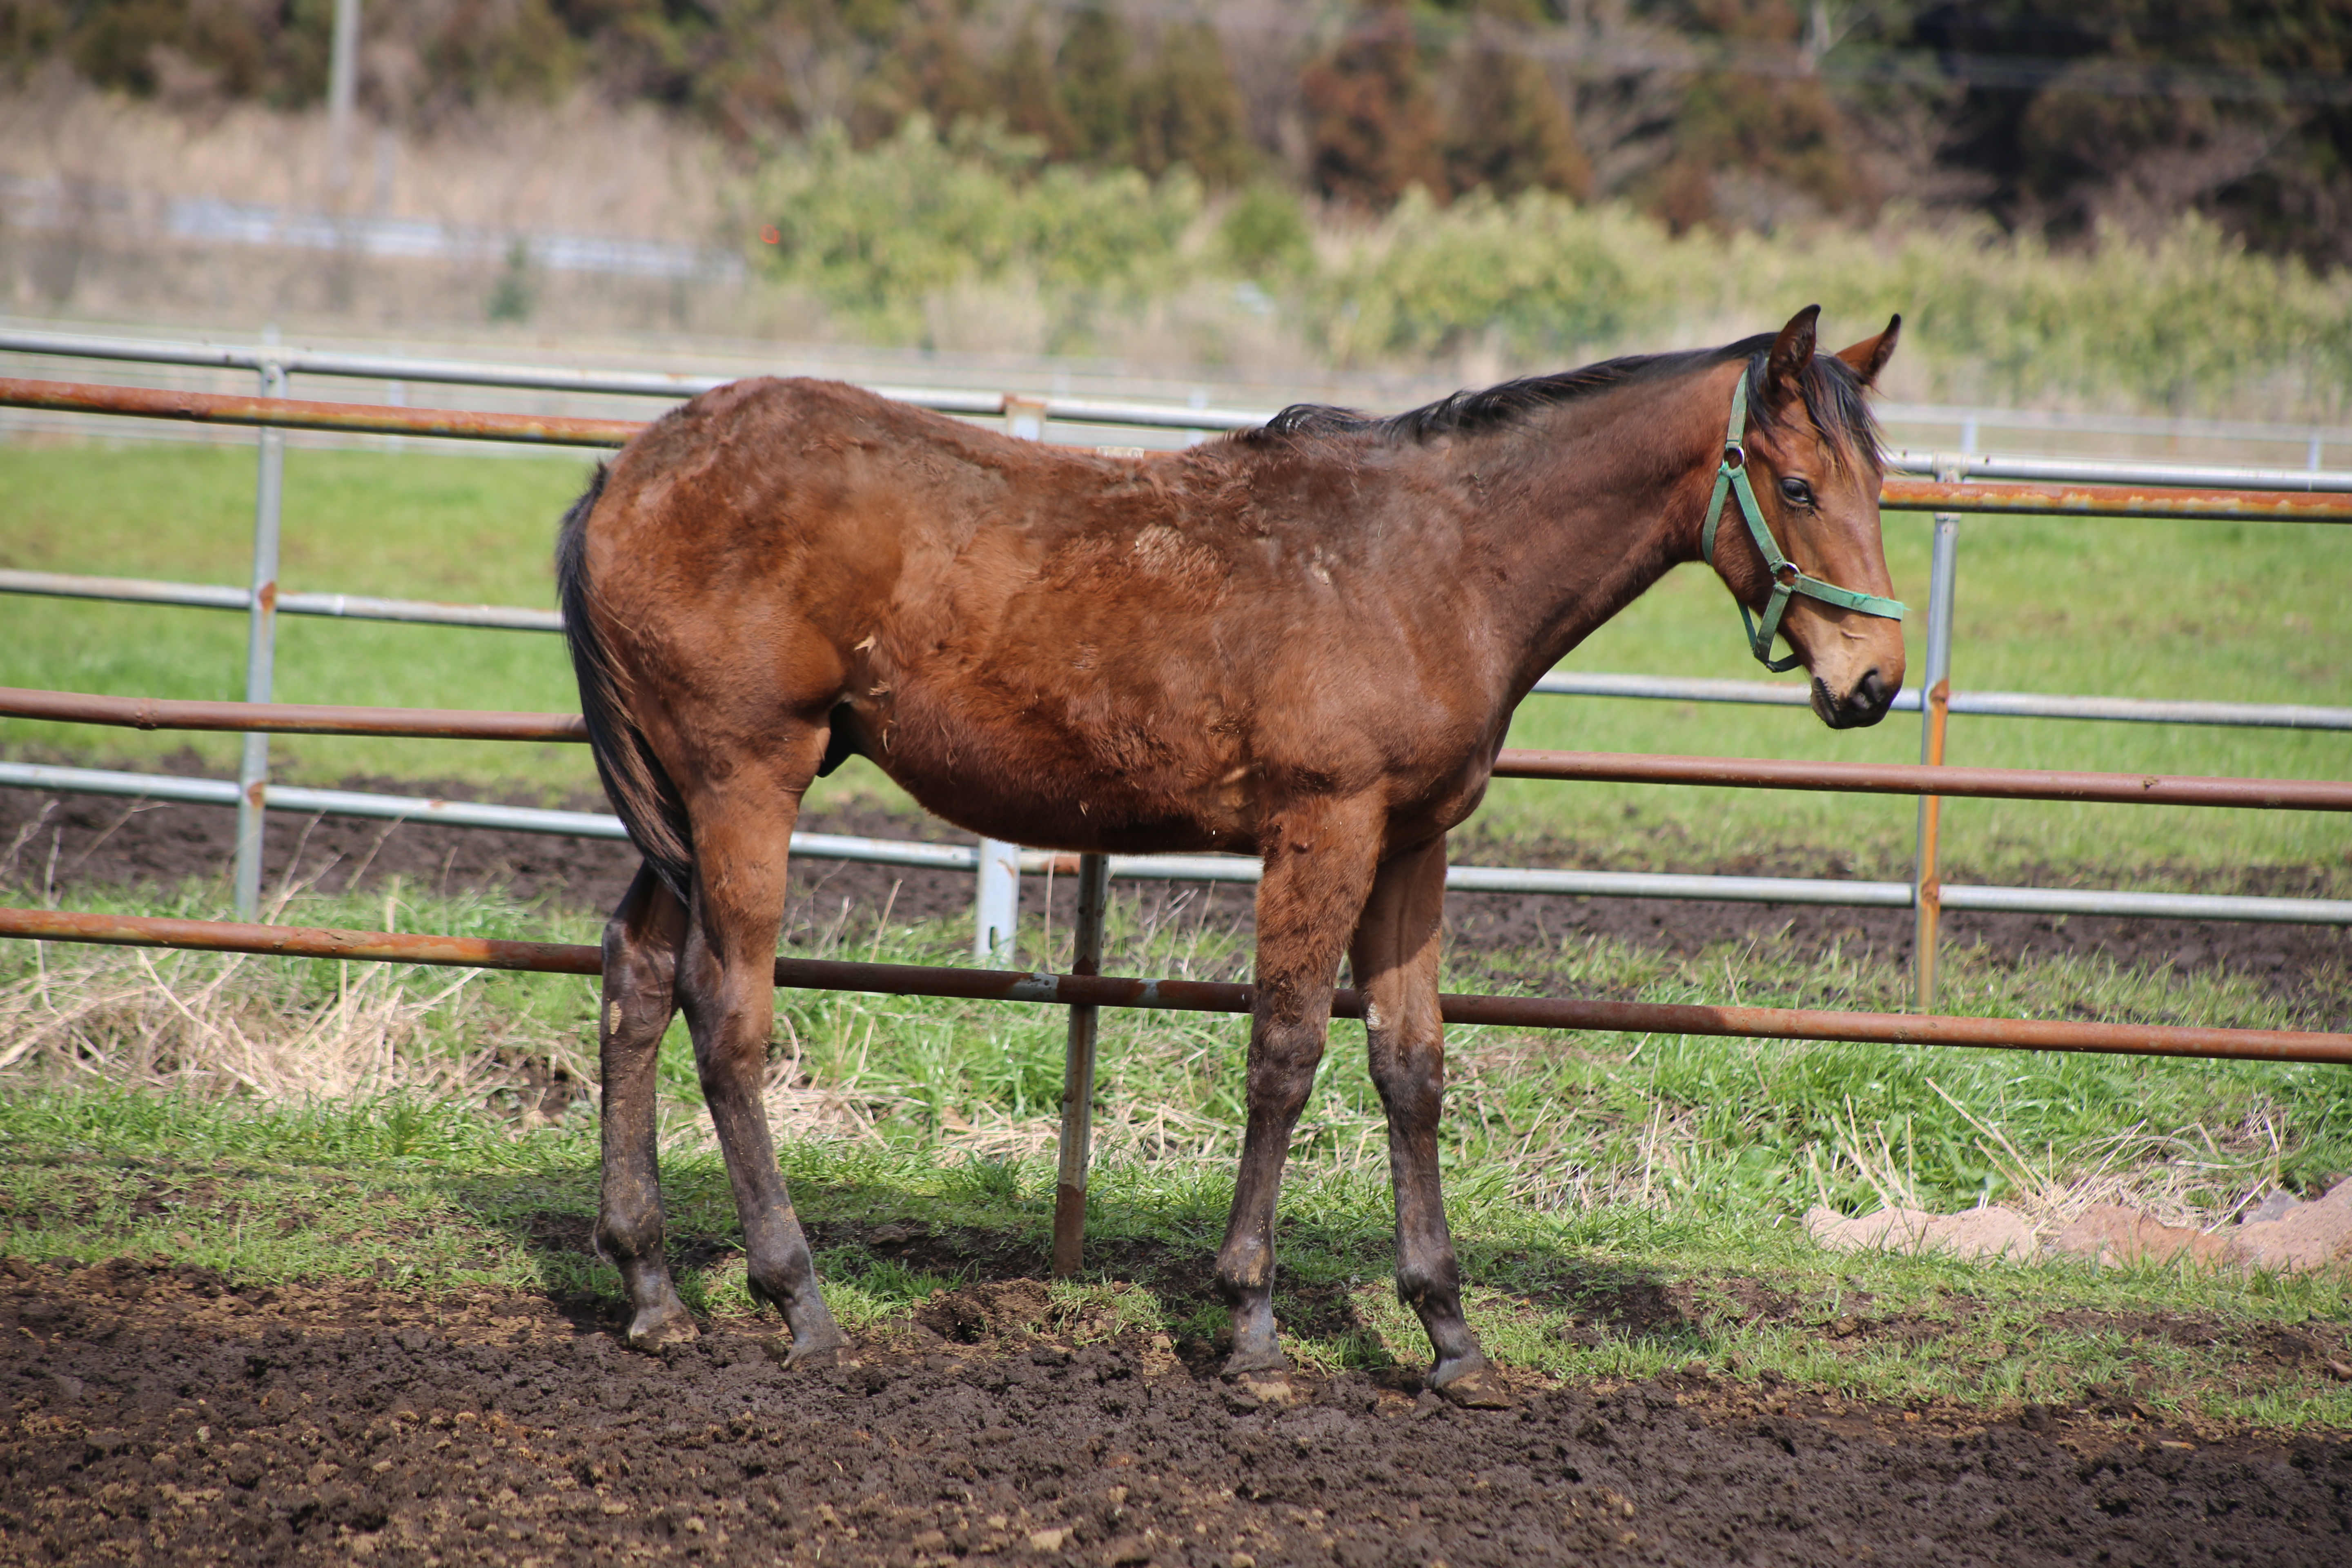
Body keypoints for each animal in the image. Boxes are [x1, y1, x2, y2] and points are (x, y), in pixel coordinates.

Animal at [555, 303, 1910, 1401]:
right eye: (1798, 487)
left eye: (1878, 488)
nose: (1875, 683)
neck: (1435, 560)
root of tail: (626, 472)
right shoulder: (1326, 826)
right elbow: (1288, 1052)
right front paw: (1252, 1324)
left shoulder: (1411, 847)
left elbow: (1411, 1067)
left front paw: (1450, 1334)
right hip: (745, 783)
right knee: (727, 1006)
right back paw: (799, 1298)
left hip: (686, 806)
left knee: (636, 975)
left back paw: (652, 1288)